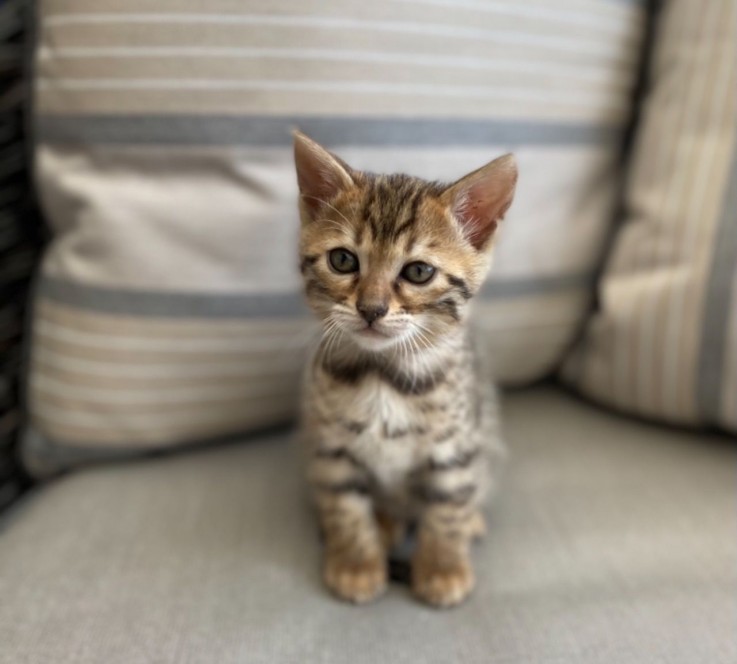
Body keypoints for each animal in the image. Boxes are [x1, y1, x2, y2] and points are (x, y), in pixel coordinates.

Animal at [290, 130, 516, 608]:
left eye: (418, 271)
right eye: (342, 260)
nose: (371, 309)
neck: (384, 374)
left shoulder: (456, 447)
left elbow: (447, 506)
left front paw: (442, 566)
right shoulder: (330, 447)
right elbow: (344, 506)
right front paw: (356, 562)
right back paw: (386, 523)